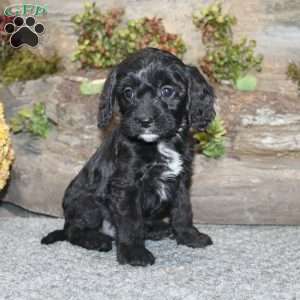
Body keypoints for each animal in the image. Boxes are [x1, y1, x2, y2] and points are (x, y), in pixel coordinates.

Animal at [42, 47, 216, 268]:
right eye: (128, 92)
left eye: (167, 91)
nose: (144, 121)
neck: (159, 143)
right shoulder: (126, 185)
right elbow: (130, 221)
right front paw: (134, 253)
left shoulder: (181, 180)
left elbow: (183, 210)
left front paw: (189, 236)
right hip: (88, 205)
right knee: (73, 230)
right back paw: (97, 240)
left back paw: (157, 228)